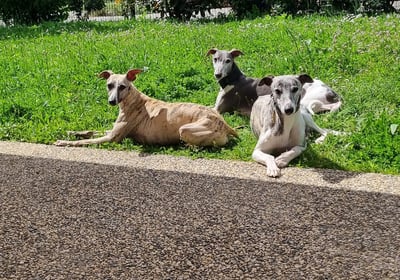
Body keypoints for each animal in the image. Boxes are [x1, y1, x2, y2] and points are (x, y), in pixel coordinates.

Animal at [55, 69, 238, 148]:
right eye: (109, 85)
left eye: (122, 87)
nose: (112, 101)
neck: (134, 101)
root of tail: (225, 124)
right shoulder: (113, 131)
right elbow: (89, 131)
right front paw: (71, 132)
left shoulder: (113, 138)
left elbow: (86, 140)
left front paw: (64, 142)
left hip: (185, 129)